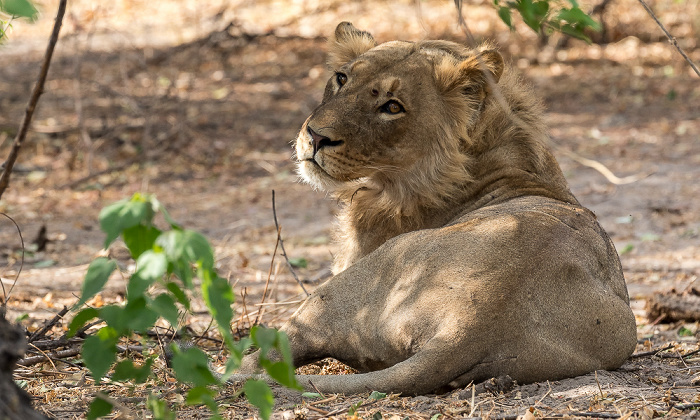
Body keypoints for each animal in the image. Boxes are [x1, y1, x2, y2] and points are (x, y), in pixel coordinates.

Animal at [237, 22, 640, 398]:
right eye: (341, 78)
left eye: (392, 106)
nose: (316, 137)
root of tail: (469, 326)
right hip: (621, 329)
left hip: (338, 291)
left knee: (266, 356)